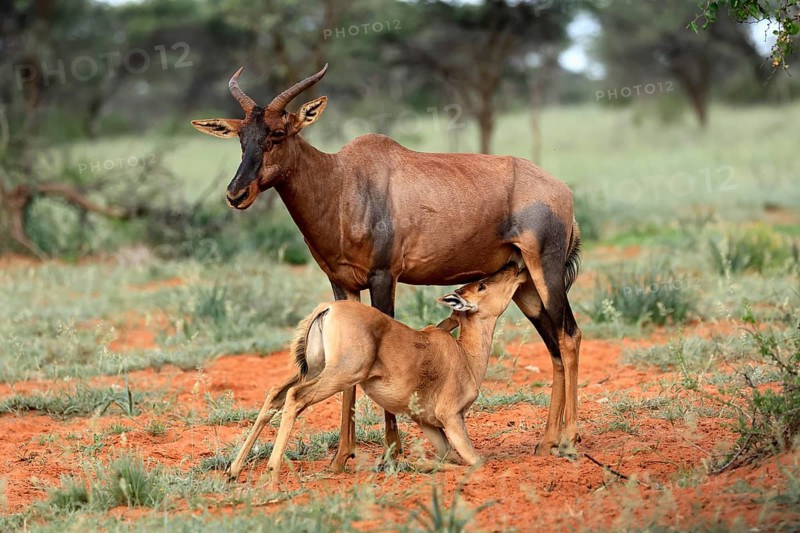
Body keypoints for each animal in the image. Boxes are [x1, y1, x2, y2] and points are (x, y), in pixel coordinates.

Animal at [228, 263, 528, 482]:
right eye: (482, 285)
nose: (516, 267)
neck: (463, 355)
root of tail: (327, 309)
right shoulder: (452, 418)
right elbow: (475, 462)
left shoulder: (430, 424)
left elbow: (451, 457)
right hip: (339, 375)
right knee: (295, 396)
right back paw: (272, 472)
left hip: (314, 370)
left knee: (275, 394)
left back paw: (234, 470)